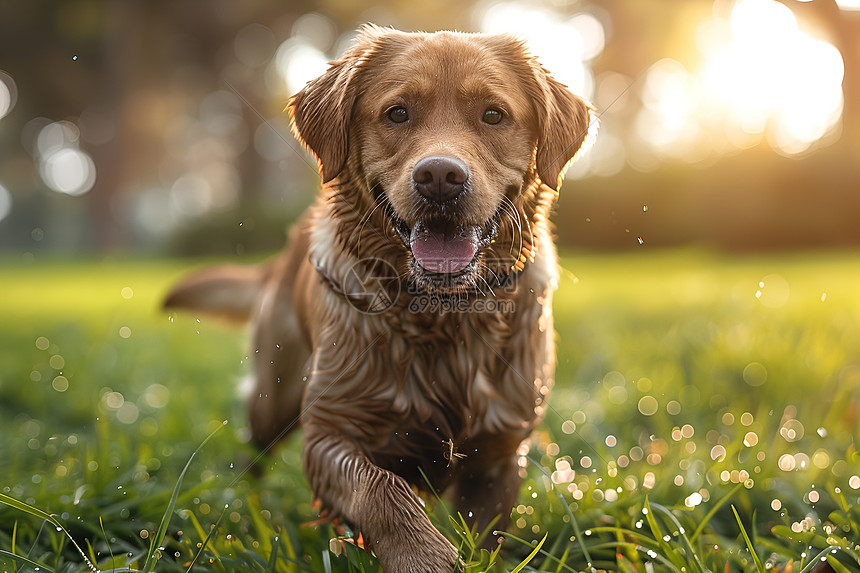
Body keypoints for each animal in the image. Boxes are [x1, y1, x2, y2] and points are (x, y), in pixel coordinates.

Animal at [169, 25, 596, 572]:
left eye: (493, 114)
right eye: (397, 113)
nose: (440, 177)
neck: (441, 313)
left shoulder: (502, 450)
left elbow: (486, 535)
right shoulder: (329, 433)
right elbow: (381, 489)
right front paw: (423, 555)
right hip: (274, 395)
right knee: (253, 458)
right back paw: (251, 513)